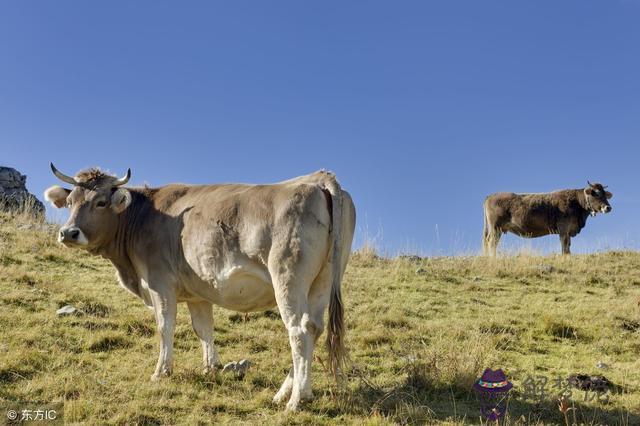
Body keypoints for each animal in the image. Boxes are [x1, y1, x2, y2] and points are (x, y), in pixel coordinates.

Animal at [482, 181, 612, 255]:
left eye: (605, 195)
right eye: (596, 194)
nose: (608, 207)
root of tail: (491, 195)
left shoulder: (569, 230)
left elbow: (568, 245)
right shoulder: (563, 228)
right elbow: (565, 244)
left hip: (497, 229)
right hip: (495, 228)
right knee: (491, 242)